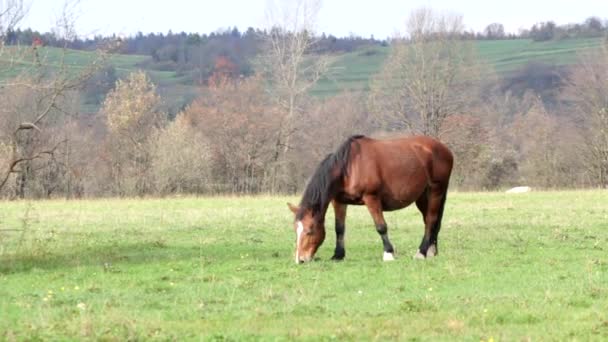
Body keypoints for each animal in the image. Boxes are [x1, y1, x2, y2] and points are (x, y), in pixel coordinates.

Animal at [288, 135, 452, 264]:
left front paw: (388, 253)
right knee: (430, 221)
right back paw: (431, 251)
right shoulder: (339, 201)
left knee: (430, 220)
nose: (300, 260)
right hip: (423, 196)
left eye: (309, 231)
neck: (349, 167)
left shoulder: (371, 198)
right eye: (295, 229)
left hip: (436, 191)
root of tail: (444, 148)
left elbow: (381, 226)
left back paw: (421, 252)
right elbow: (339, 228)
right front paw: (338, 255)